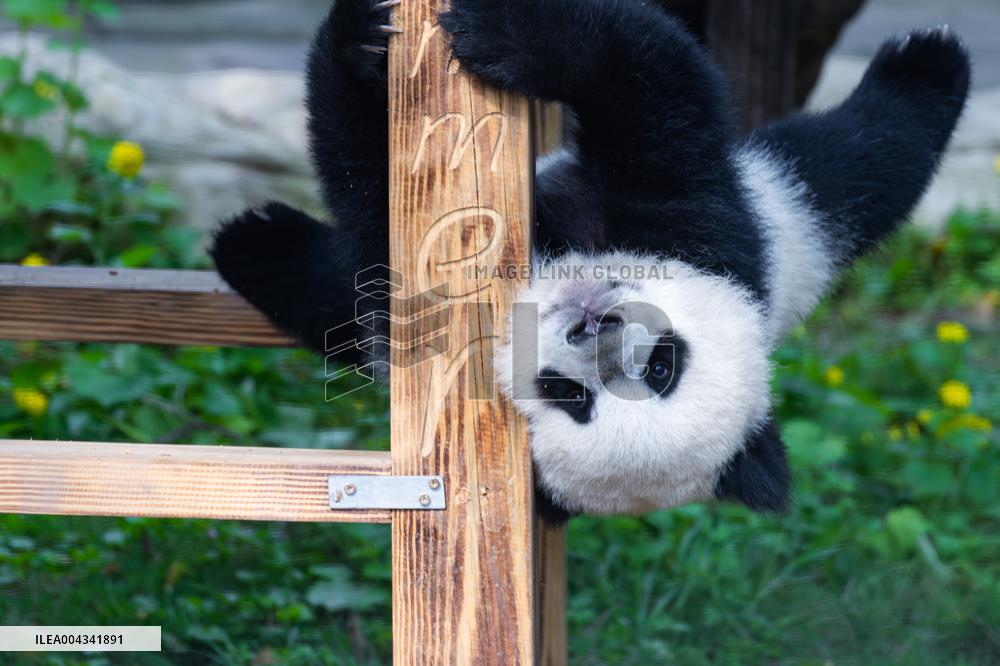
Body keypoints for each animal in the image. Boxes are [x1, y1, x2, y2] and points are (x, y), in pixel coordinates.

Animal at [211, 0, 971, 522]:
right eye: (666, 364)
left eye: (569, 396)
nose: (593, 325)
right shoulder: (707, 233)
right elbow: (655, 86)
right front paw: (387, 35)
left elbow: (375, 211)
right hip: (786, 222)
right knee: (856, 165)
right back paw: (931, 61)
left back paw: (254, 242)